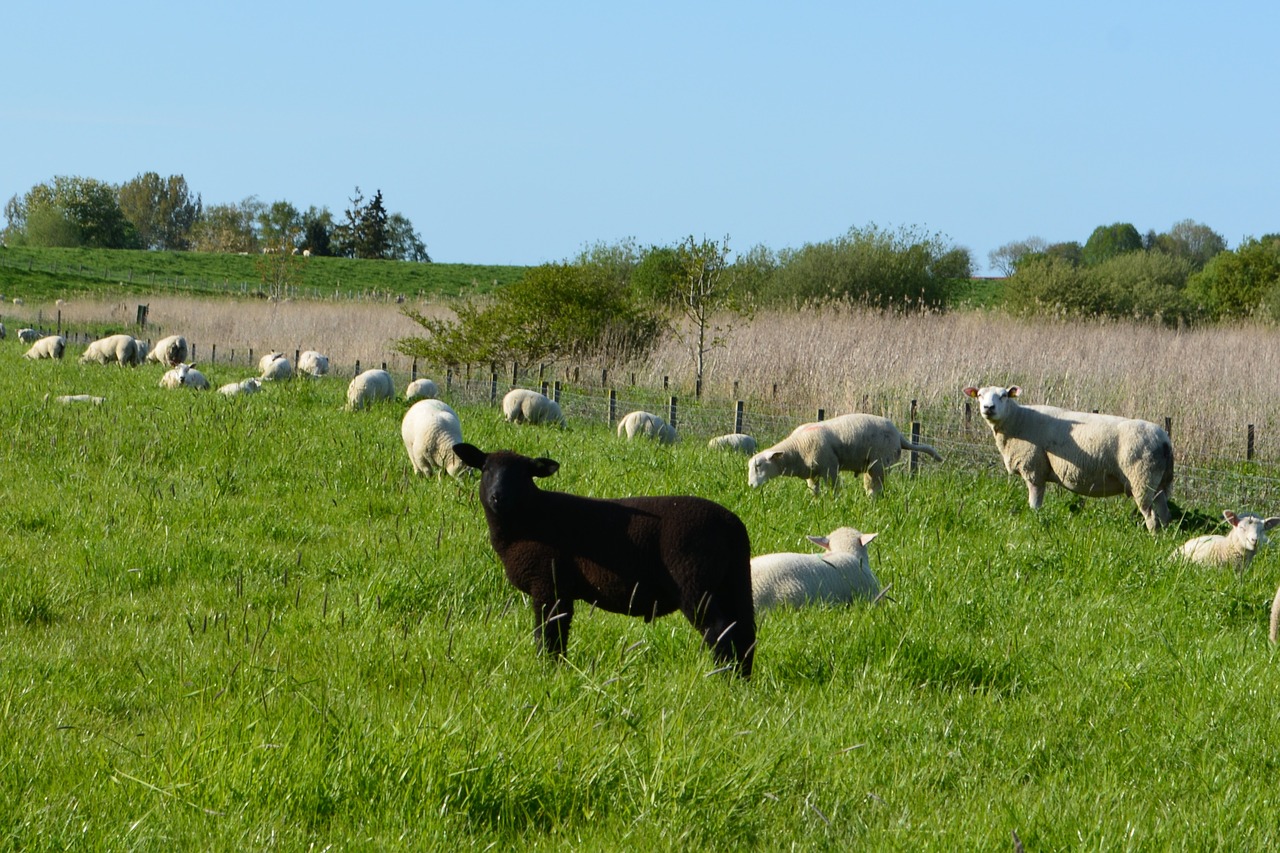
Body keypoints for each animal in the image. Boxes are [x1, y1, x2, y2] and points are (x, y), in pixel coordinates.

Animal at [450, 440, 752, 676]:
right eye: (486, 470)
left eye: (523, 475)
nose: (497, 497)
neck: (530, 518)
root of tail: (733, 525)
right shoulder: (561, 589)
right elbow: (558, 634)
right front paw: (557, 669)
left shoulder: (547, 582)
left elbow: (547, 634)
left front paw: (546, 670)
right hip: (732, 581)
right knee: (744, 632)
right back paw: (741, 681)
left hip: (694, 582)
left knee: (719, 631)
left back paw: (721, 678)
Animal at [747, 409, 942, 494]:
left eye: (759, 466)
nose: (750, 486)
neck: (796, 449)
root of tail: (899, 436)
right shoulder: (812, 473)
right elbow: (814, 491)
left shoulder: (830, 468)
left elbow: (835, 489)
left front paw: (835, 502)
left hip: (879, 463)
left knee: (876, 487)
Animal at [962, 386, 1172, 532]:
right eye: (979, 395)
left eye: (1004, 395)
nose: (988, 407)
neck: (1017, 420)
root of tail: (1164, 439)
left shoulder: (1034, 468)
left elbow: (1034, 503)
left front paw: (1035, 521)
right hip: (1160, 481)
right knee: (1164, 513)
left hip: (1141, 478)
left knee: (1151, 515)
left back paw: (1152, 538)